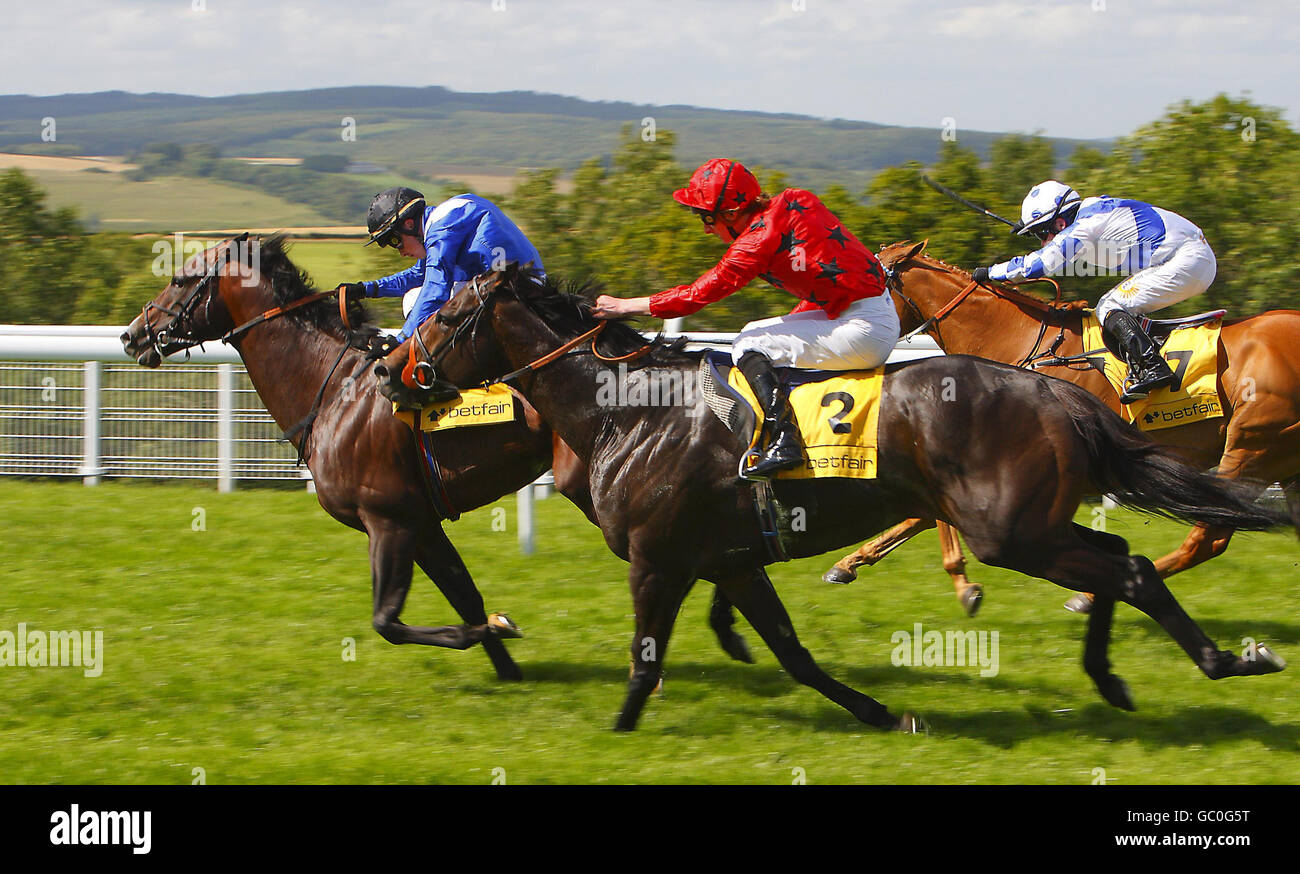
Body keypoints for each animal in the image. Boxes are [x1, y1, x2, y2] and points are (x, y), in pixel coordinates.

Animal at [826, 239, 1300, 608]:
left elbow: (934, 516)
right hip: (1281, 461)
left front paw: (963, 583)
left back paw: (1091, 596)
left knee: (1207, 538)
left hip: (1252, 445)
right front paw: (848, 563)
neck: (1019, 343)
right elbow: (922, 515)